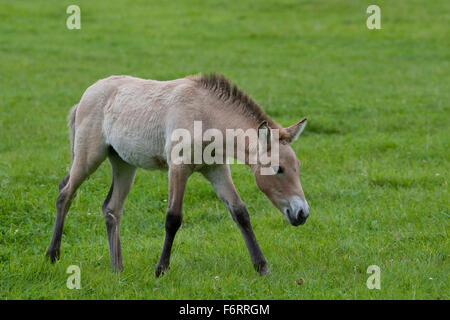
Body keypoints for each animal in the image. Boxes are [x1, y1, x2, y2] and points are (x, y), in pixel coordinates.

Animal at [45, 74, 310, 276]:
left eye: (297, 165)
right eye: (278, 169)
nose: (302, 213)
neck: (206, 116)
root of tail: (85, 96)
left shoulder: (216, 169)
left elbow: (240, 213)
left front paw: (262, 267)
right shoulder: (178, 168)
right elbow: (173, 218)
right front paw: (161, 269)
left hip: (124, 164)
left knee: (111, 208)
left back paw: (117, 268)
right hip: (88, 157)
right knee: (65, 193)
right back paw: (52, 255)